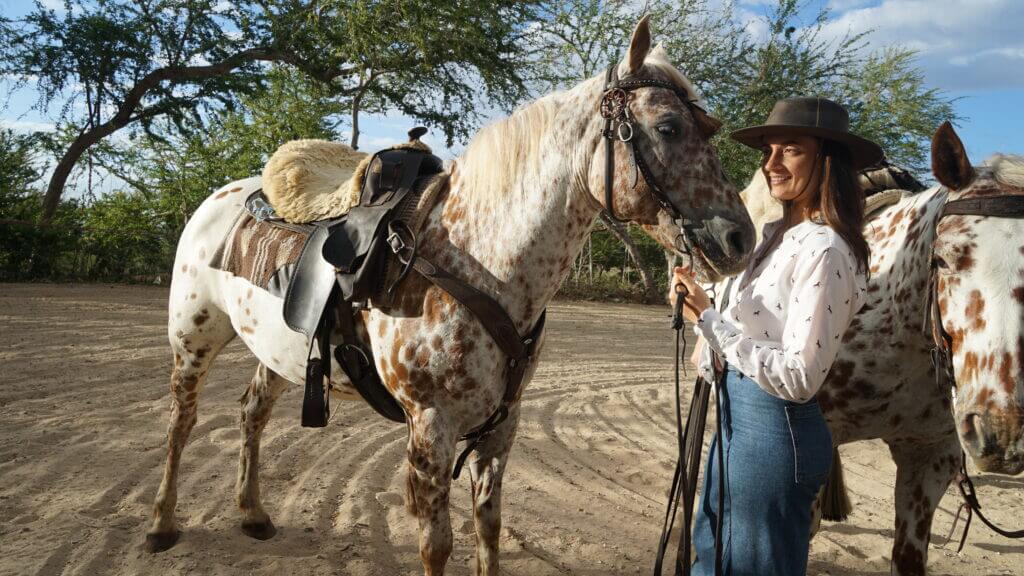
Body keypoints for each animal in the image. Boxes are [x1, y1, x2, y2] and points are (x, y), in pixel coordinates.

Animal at [144, 17, 757, 573]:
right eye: (669, 126)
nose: (741, 239)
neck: (476, 262)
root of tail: (220, 197)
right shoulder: (431, 428)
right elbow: (436, 546)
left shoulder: (502, 426)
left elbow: (489, 529)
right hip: (193, 343)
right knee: (180, 424)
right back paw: (161, 524)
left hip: (277, 352)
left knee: (251, 414)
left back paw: (251, 512)